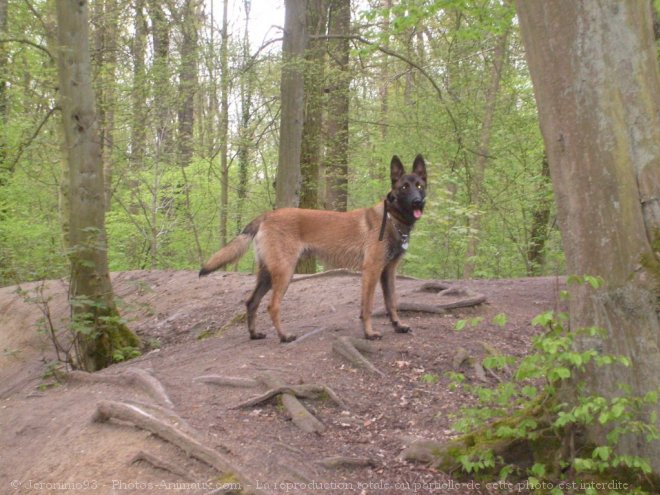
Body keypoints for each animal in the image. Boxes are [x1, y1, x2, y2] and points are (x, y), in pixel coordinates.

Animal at [200, 154, 428, 340]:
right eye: (404, 187)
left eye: (419, 186)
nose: (418, 202)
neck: (392, 219)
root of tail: (267, 215)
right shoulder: (371, 271)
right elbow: (368, 306)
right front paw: (369, 333)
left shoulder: (388, 272)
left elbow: (392, 302)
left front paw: (398, 326)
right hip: (285, 272)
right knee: (272, 306)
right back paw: (284, 336)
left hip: (267, 274)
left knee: (251, 302)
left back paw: (254, 334)